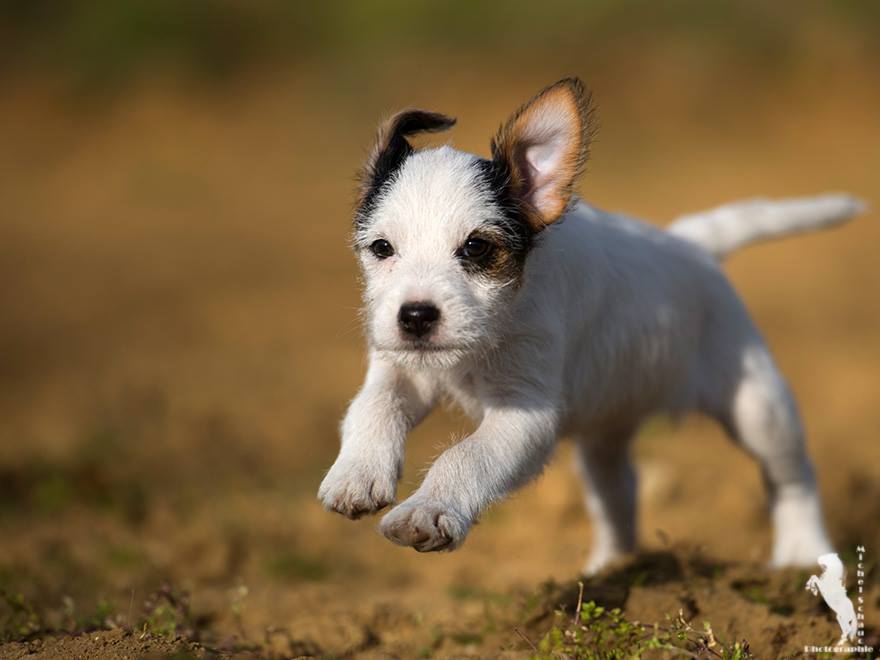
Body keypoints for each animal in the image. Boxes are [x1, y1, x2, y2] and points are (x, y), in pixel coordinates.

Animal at [318, 77, 868, 572]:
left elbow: (467, 456)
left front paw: (427, 511)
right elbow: (372, 406)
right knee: (619, 492)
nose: (415, 316)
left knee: (793, 475)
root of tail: (691, 245)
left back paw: (805, 553)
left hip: (759, 407)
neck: (484, 342)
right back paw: (613, 567)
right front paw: (356, 473)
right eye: (381, 248)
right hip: (606, 431)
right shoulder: (403, 370)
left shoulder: (525, 414)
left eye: (475, 247)